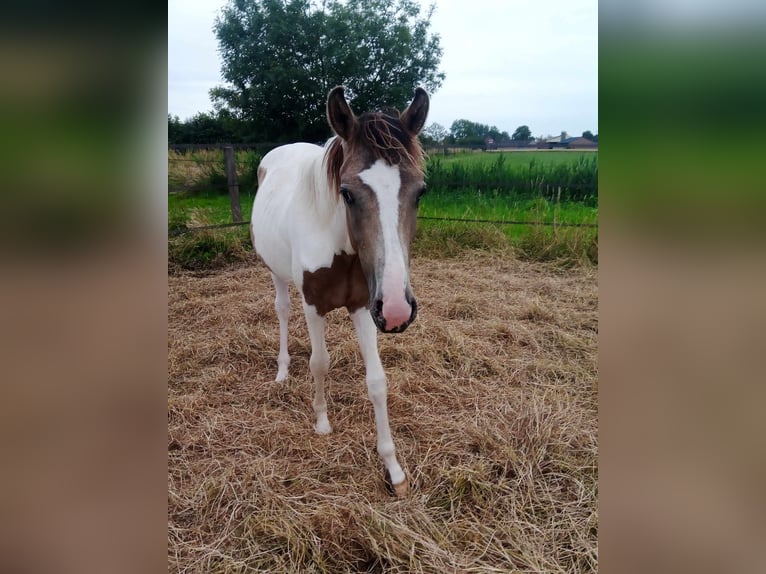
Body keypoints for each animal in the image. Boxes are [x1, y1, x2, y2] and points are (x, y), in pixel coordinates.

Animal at [252, 84, 432, 496]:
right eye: (347, 193)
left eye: (420, 192)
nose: (398, 310)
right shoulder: (314, 305)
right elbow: (319, 362)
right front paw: (321, 422)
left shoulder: (365, 307)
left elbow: (377, 381)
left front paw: (393, 470)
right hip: (276, 273)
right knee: (282, 310)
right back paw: (282, 371)